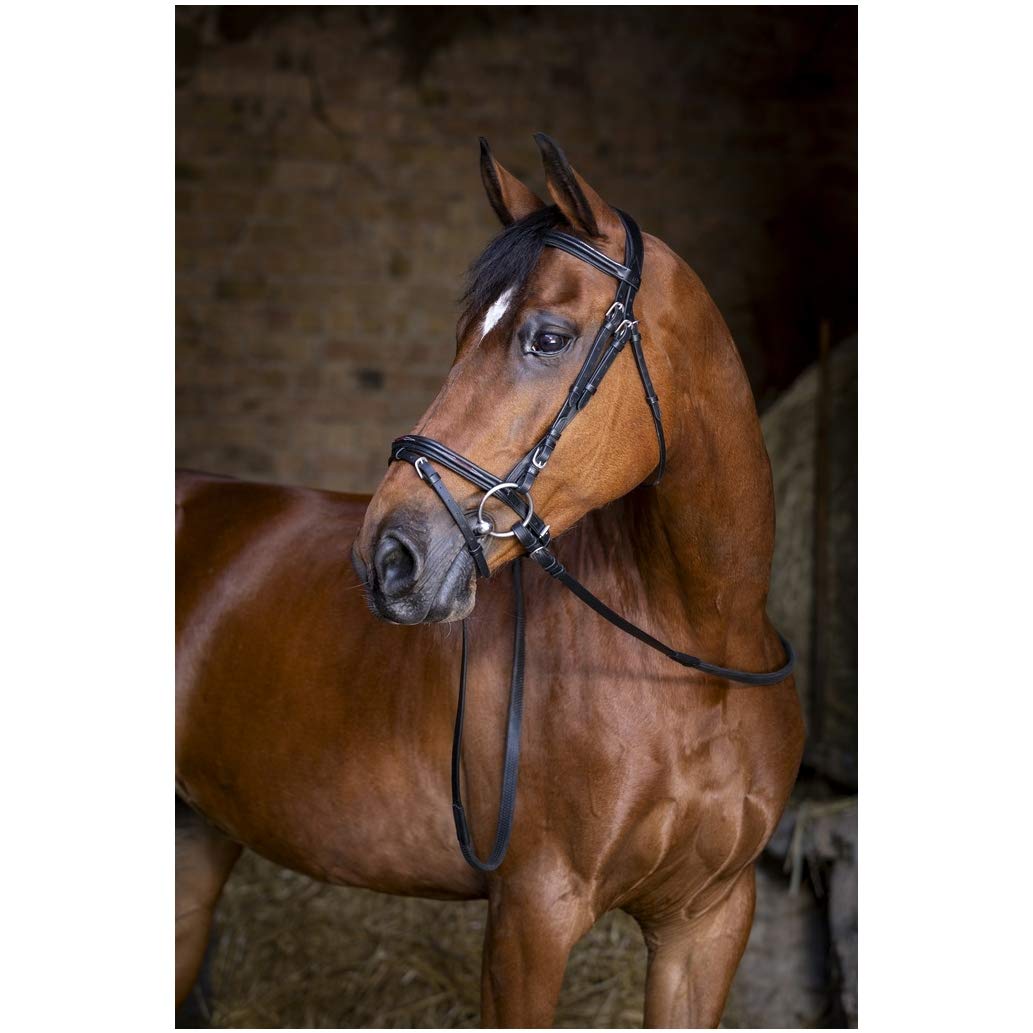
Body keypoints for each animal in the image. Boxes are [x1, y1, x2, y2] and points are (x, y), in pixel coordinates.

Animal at [175, 133, 804, 1028]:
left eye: (547, 337)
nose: (389, 556)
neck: (693, 657)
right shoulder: (529, 920)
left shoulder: (707, 922)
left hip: (194, 837)